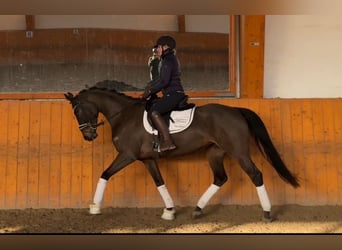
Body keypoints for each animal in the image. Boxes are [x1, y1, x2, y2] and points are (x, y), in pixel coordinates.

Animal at [65, 83, 300, 222]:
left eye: (77, 110)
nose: (88, 136)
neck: (124, 115)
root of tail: (236, 110)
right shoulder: (148, 159)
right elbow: (159, 182)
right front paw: (169, 210)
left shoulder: (127, 156)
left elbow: (104, 174)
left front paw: (95, 207)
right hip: (214, 153)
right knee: (220, 178)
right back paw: (197, 208)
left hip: (239, 152)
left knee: (255, 175)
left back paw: (267, 213)